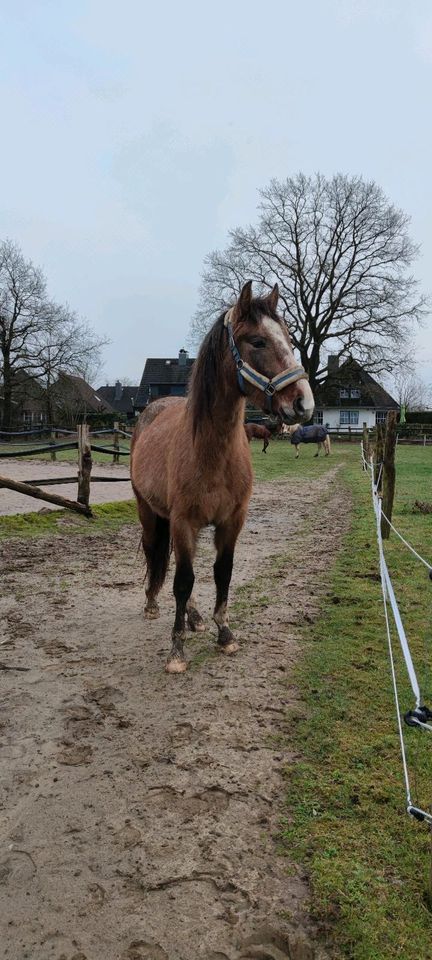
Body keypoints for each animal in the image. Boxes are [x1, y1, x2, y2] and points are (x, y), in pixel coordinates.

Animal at [131, 282, 314, 672]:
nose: (303, 404)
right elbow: (183, 581)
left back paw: (195, 617)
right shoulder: (183, 521)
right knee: (159, 557)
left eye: (289, 337)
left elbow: (221, 573)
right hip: (150, 513)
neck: (212, 452)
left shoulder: (232, 522)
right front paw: (176, 650)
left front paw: (224, 633)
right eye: (257, 341)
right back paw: (153, 604)